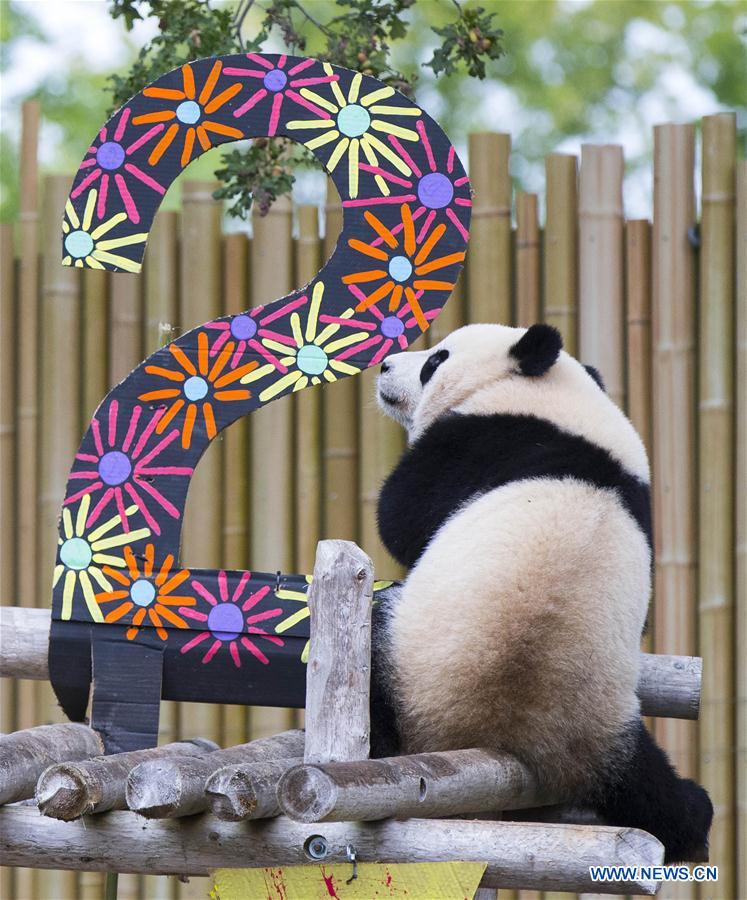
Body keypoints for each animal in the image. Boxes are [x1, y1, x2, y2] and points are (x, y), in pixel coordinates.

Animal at [369, 322, 712, 864]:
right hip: (609, 724)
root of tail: (505, 731)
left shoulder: (480, 440)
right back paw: (692, 814)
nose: (385, 366)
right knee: (653, 791)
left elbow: (403, 514)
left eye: (435, 360)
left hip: (412, 665)